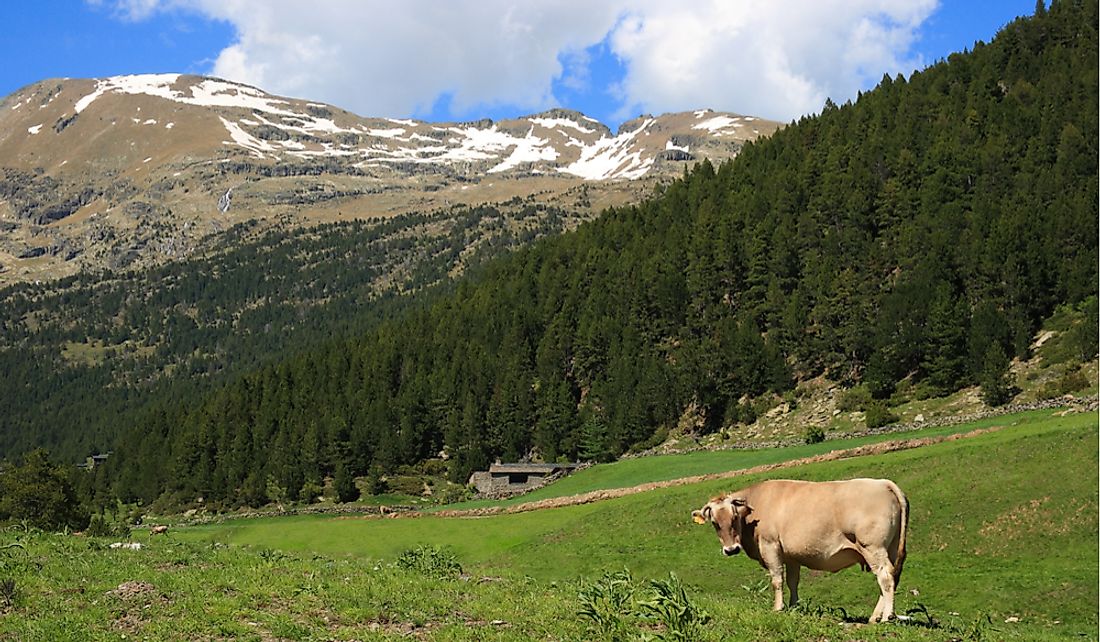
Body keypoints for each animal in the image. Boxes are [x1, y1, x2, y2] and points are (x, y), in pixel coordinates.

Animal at [690, 477, 906, 620]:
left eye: (734, 517)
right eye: (715, 523)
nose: (731, 549)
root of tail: (883, 483)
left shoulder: (770, 546)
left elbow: (777, 579)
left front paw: (778, 608)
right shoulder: (791, 556)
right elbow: (792, 582)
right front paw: (794, 607)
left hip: (872, 547)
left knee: (885, 577)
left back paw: (887, 617)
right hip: (891, 547)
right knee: (892, 576)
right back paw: (874, 618)